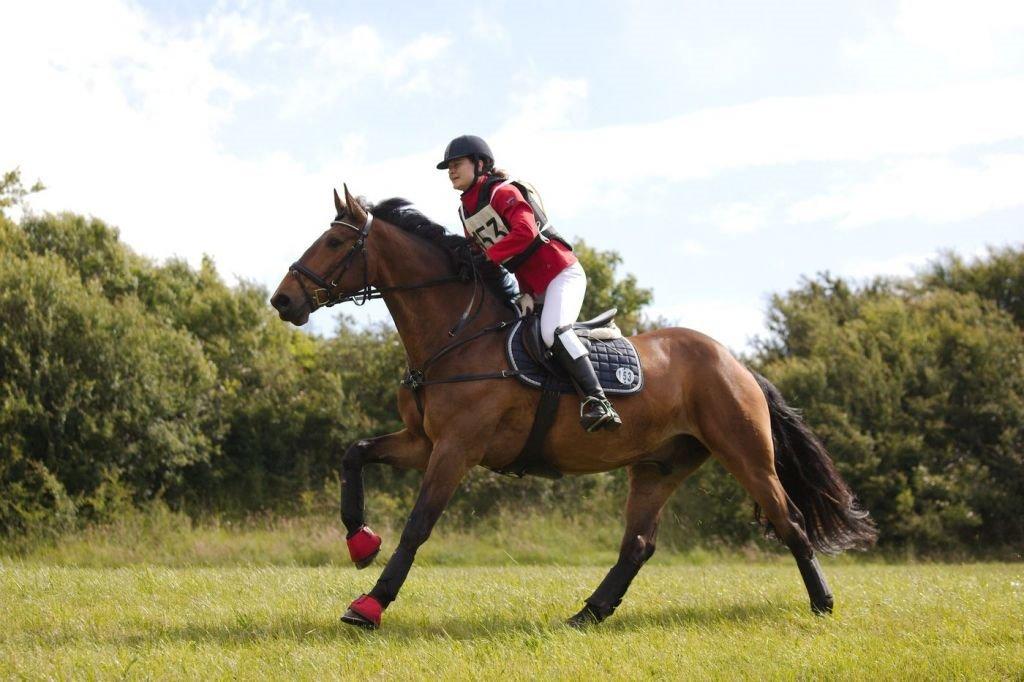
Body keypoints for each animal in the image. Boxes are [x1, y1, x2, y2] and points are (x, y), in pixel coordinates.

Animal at [268, 184, 876, 626]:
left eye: (333, 243)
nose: (282, 300)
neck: (456, 334)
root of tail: (737, 363)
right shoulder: (424, 442)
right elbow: (354, 452)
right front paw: (359, 542)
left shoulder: (457, 449)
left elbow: (418, 525)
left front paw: (369, 605)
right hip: (659, 464)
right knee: (638, 544)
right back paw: (590, 613)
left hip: (744, 450)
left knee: (788, 519)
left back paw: (822, 604)